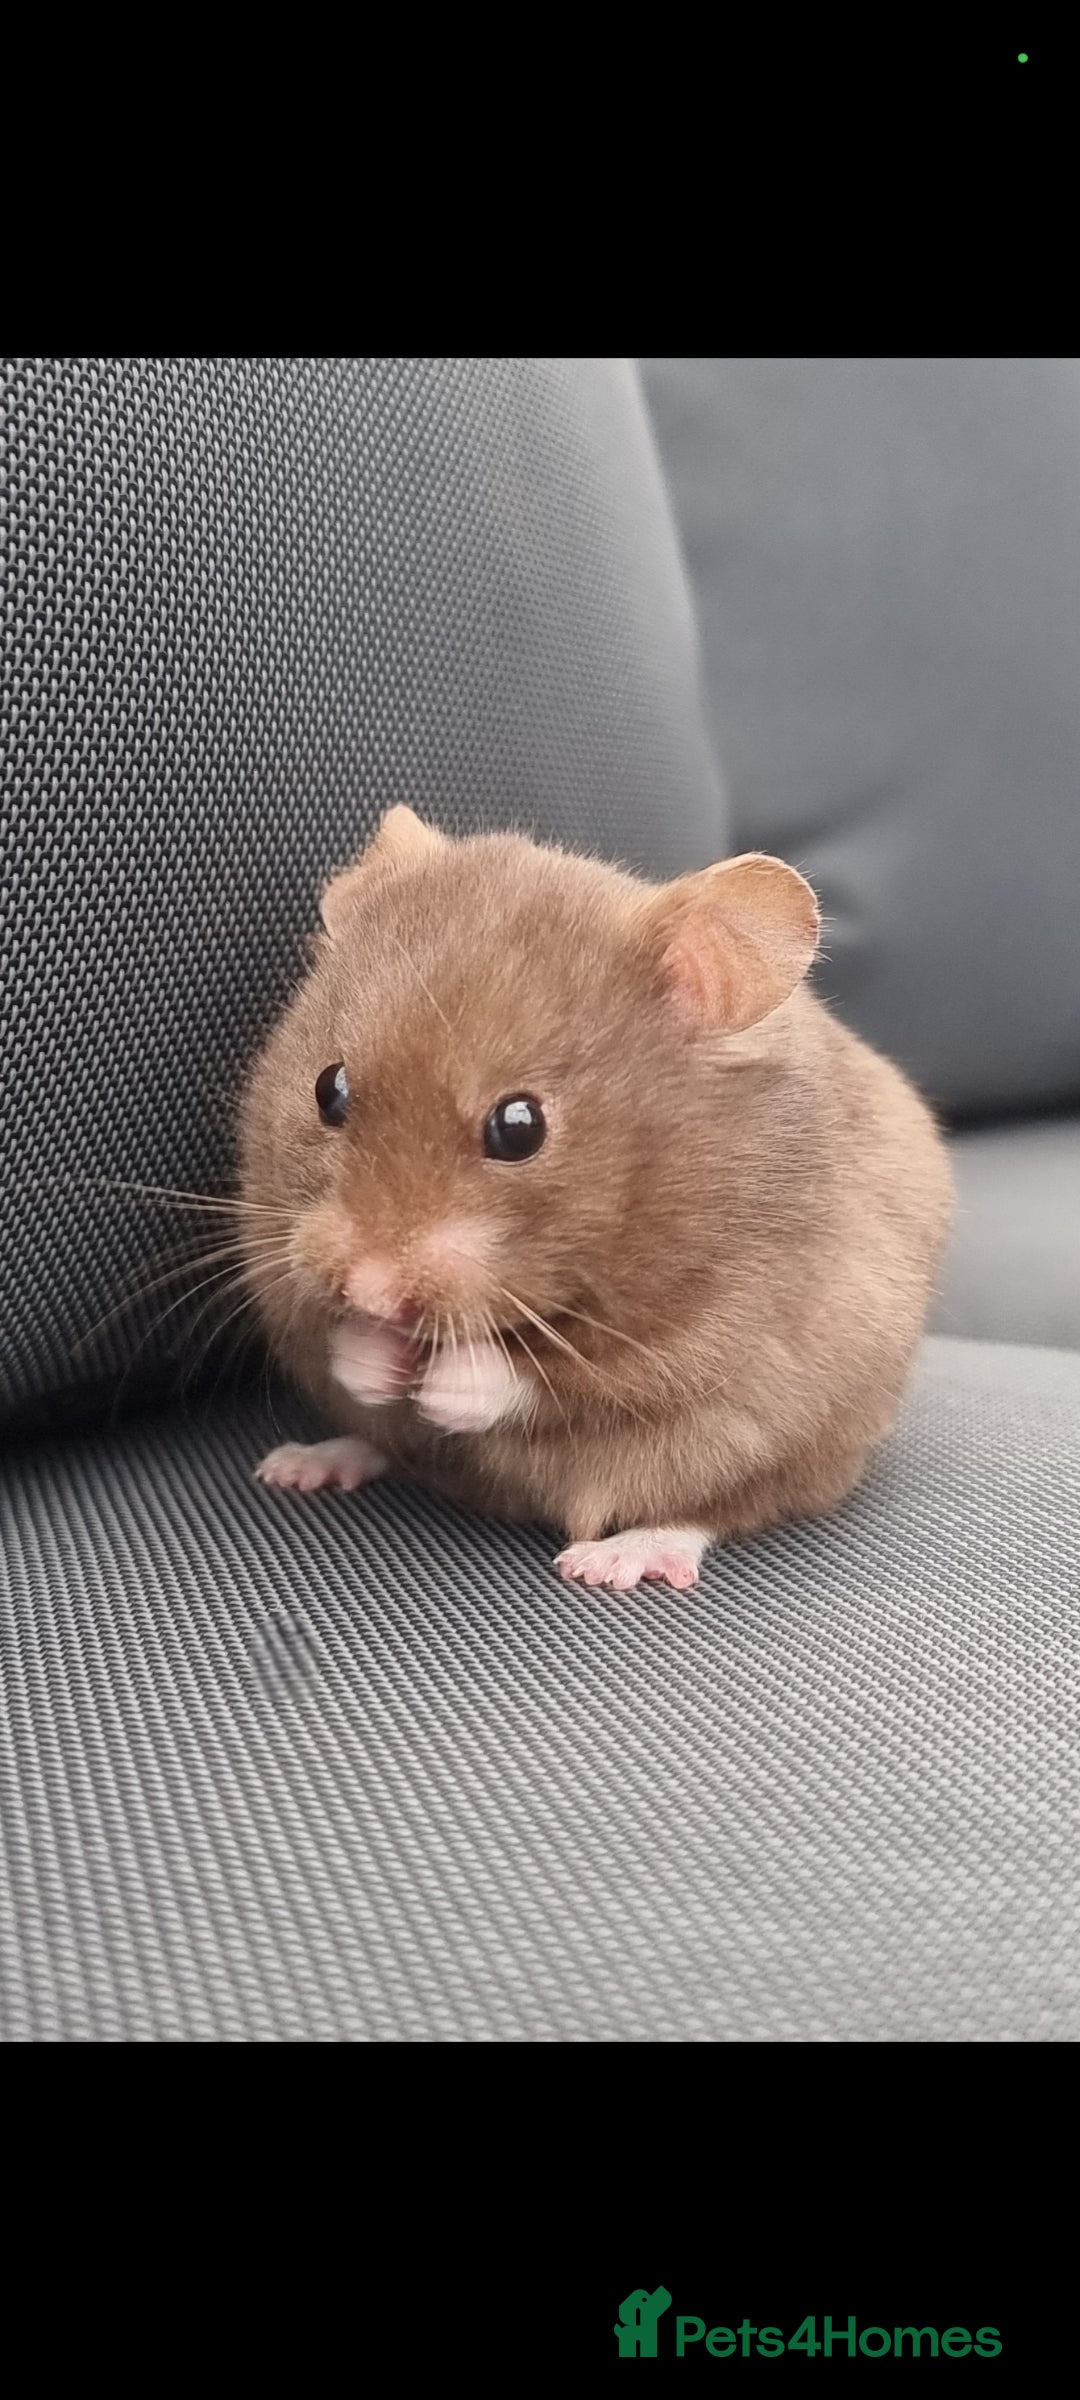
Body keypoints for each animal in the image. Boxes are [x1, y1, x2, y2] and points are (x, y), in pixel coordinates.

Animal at [240, 805, 953, 1592]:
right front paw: (377, 1356)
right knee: (388, 1447)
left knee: (717, 1506)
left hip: (780, 1443)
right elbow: (333, 1340)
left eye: (519, 1127)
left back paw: (613, 1563)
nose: (371, 1292)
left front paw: (440, 1387)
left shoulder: (704, 1336)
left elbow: (551, 1379)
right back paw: (299, 1465)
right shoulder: (273, 1254)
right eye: (328, 1088)